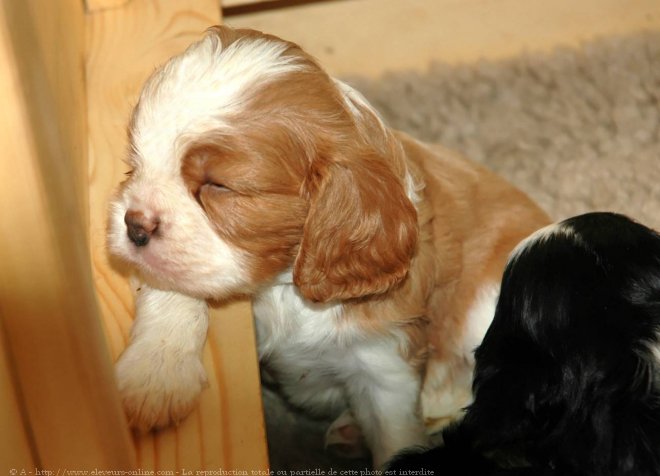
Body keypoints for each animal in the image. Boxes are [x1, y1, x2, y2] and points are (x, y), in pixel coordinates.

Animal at [108, 24, 548, 466]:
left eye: (218, 186)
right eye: (134, 165)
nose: (135, 227)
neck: (284, 288)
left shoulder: (384, 361)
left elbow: (394, 434)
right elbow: (174, 284)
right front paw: (157, 373)